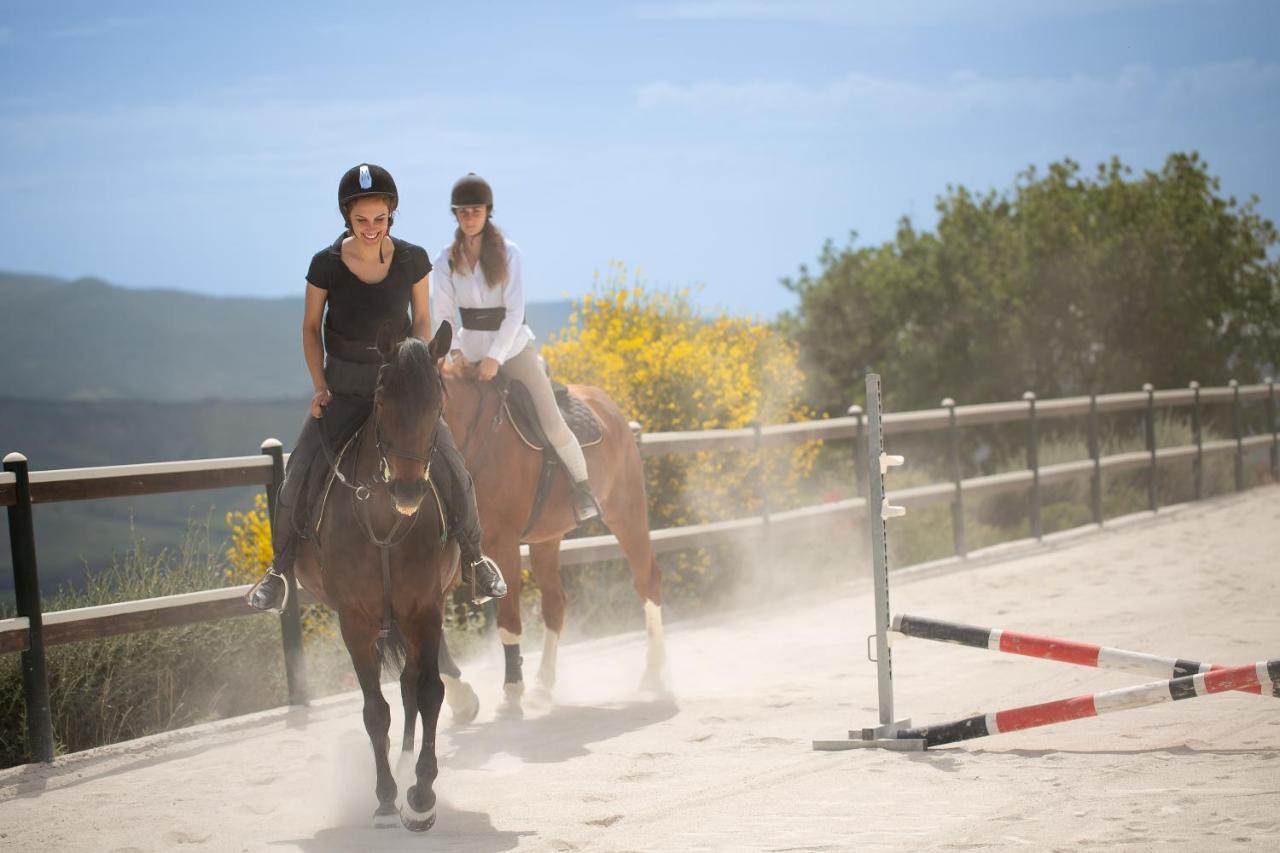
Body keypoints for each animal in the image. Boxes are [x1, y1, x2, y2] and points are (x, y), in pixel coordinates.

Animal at [294, 322, 465, 824]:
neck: (387, 523)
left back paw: (409, 767)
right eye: (384, 401)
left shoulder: (427, 609)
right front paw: (387, 796)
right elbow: (375, 711)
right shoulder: (354, 621)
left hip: (409, 620)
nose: (407, 490)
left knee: (410, 686)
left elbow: (429, 693)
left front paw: (422, 793)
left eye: (437, 405)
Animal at [442, 371, 665, 712]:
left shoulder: (503, 543)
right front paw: (462, 699)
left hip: (626, 513)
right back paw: (542, 686)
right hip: (546, 539)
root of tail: (608, 405)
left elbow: (508, 621)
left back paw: (653, 676)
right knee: (555, 604)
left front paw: (511, 692)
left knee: (647, 581)